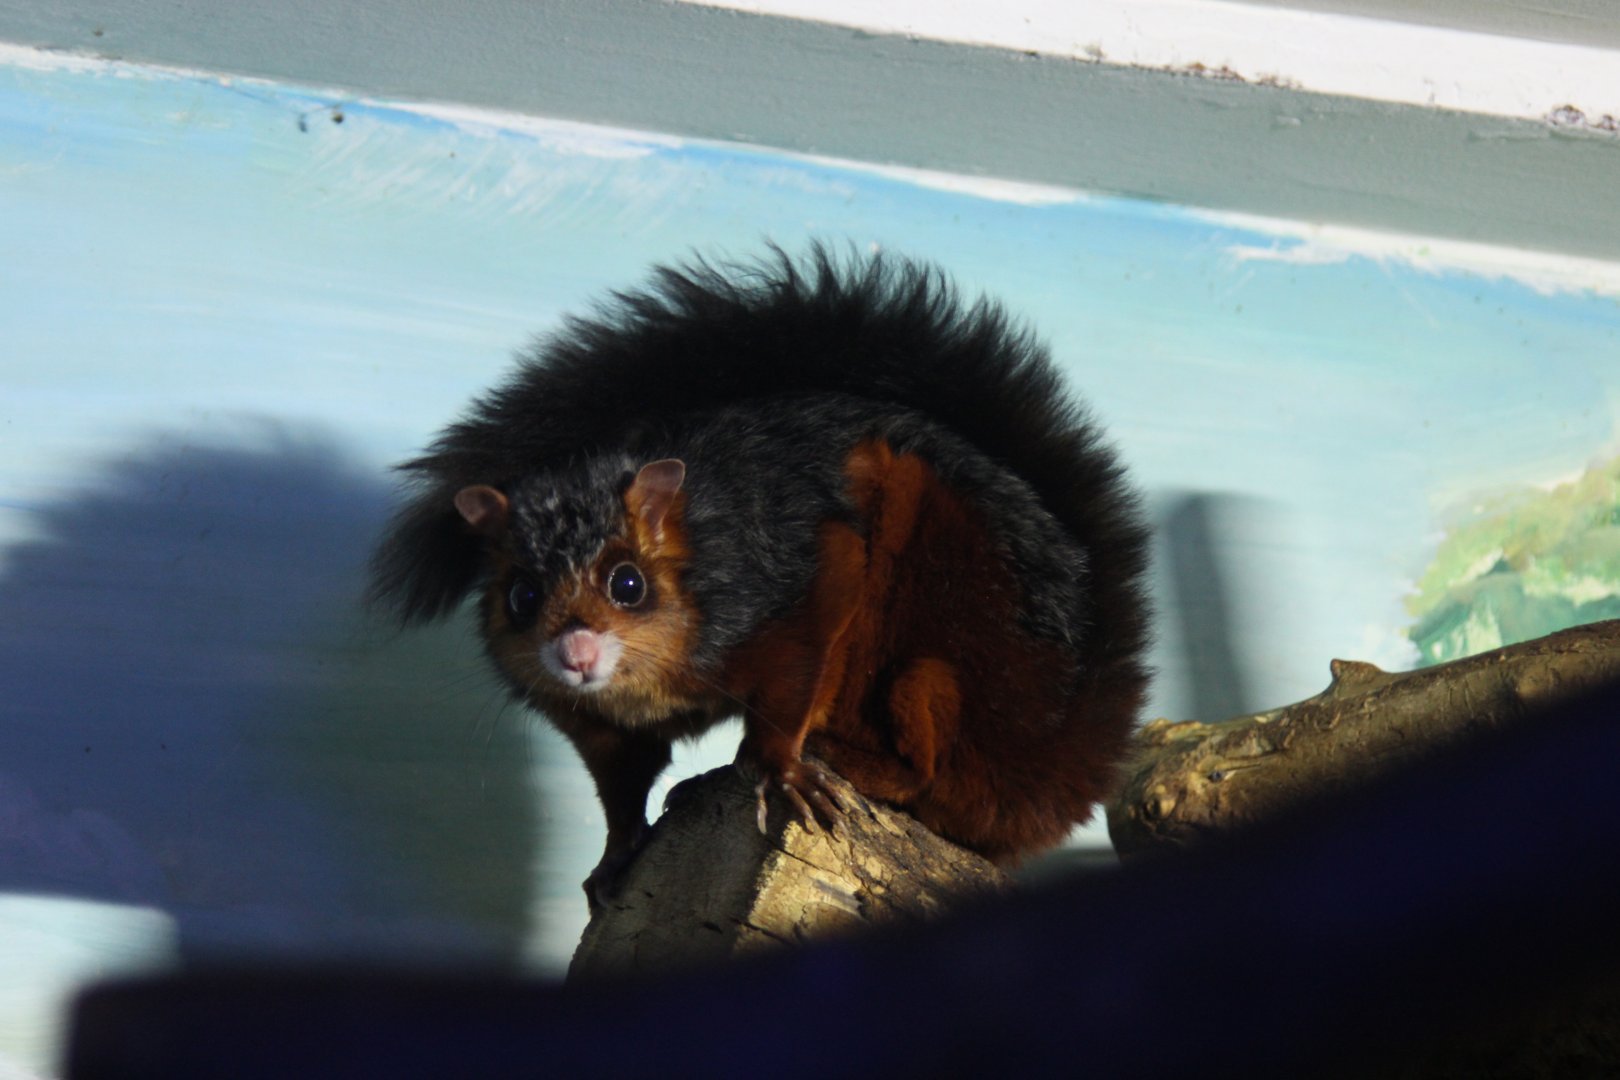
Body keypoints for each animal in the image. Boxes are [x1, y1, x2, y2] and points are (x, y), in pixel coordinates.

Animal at [370, 246, 1151, 904]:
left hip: (934, 673)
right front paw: (615, 856)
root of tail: (1066, 762)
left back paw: (842, 762)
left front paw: (779, 767)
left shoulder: (800, 584)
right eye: (521, 597)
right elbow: (624, 785)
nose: (576, 653)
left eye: (629, 583)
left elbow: (791, 682)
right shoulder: (599, 726)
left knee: (928, 773)